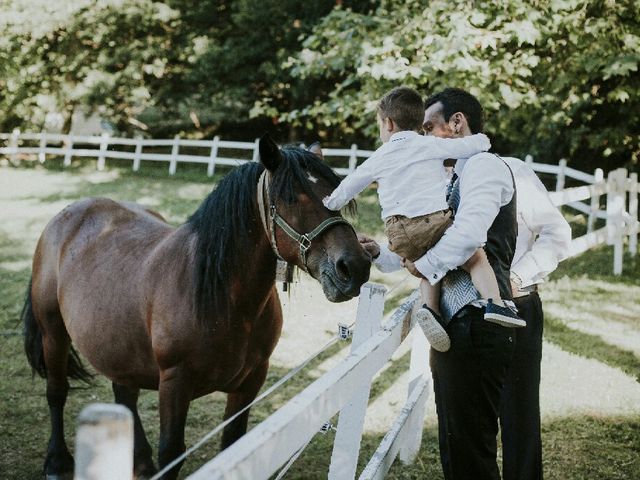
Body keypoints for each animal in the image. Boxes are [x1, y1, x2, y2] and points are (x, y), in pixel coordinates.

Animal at [22, 136, 370, 480]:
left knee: (124, 395)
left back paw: (140, 463)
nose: (354, 266)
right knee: (57, 391)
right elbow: (171, 452)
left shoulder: (251, 380)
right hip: (54, 334)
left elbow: (233, 443)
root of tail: (70, 214)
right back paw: (57, 461)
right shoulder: (175, 383)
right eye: (292, 200)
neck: (225, 302)